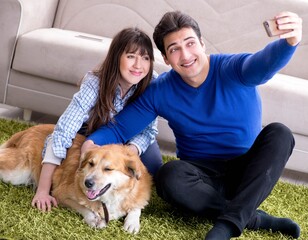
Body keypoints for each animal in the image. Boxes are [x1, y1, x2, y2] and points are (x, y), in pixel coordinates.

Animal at [0, 124, 153, 233]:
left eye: (108, 169)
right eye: (91, 163)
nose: (87, 183)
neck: (111, 197)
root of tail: (29, 129)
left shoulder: (139, 194)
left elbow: (136, 206)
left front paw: (132, 222)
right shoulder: (60, 194)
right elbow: (82, 206)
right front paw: (92, 218)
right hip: (17, 172)